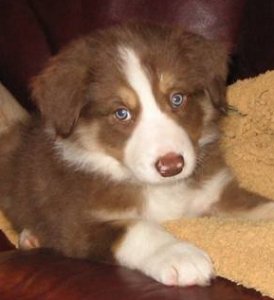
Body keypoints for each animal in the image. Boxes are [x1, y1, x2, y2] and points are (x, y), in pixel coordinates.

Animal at [0, 22, 274, 286]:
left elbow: (255, 207)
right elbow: (138, 228)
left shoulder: (216, 195)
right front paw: (179, 254)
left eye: (177, 98)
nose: (171, 166)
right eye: (122, 113)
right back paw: (30, 236)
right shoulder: (75, 223)